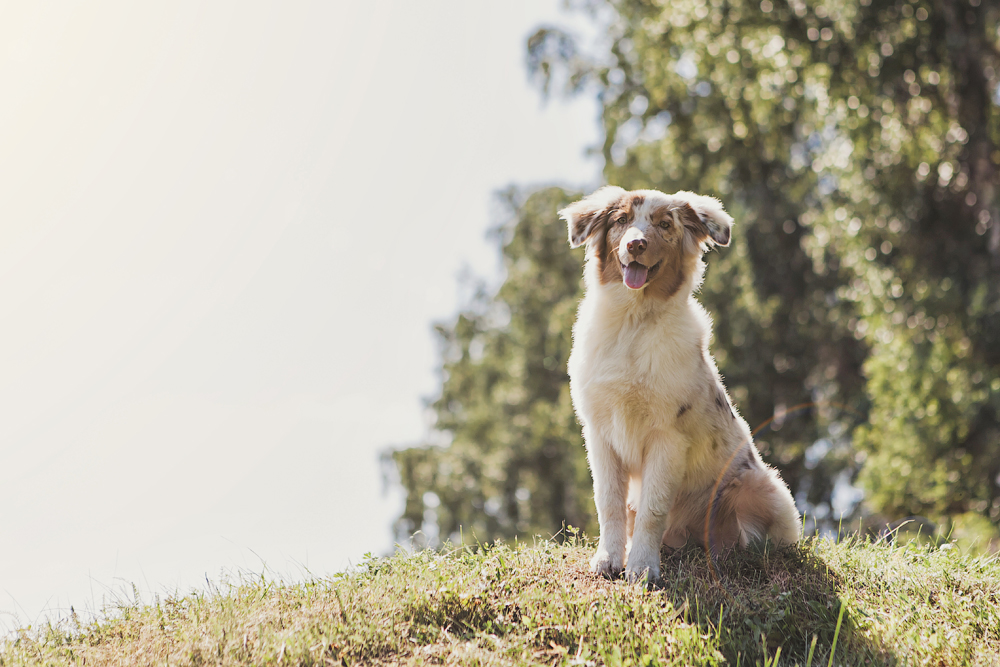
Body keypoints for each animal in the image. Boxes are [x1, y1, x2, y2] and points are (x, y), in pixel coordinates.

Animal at [564, 187, 796, 584]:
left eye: (664, 225)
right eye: (621, 220)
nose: (636, 244)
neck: (634, 323)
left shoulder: (667, 436)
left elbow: (652, 509)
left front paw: (642, 567)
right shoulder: (600, 433)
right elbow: (608, 502)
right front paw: (608, 559)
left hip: (761, 486)